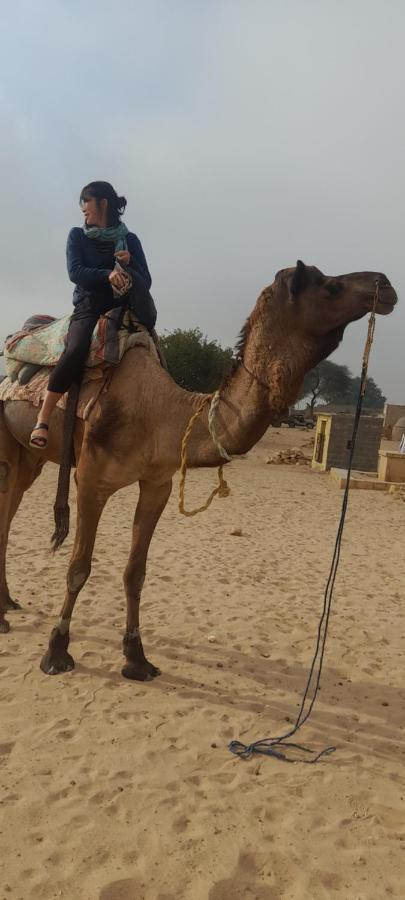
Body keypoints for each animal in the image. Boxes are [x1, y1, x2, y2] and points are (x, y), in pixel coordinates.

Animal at [0, 264, 398, 680]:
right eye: (330, 286)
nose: (384, 284)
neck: (160, 413)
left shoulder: (157, 483)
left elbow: (135, 572)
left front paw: (137, 658)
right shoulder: (91, 480)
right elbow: (78, 567)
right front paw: (56, 652)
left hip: (32, 458)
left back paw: (8, 603)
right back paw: (5, 617)